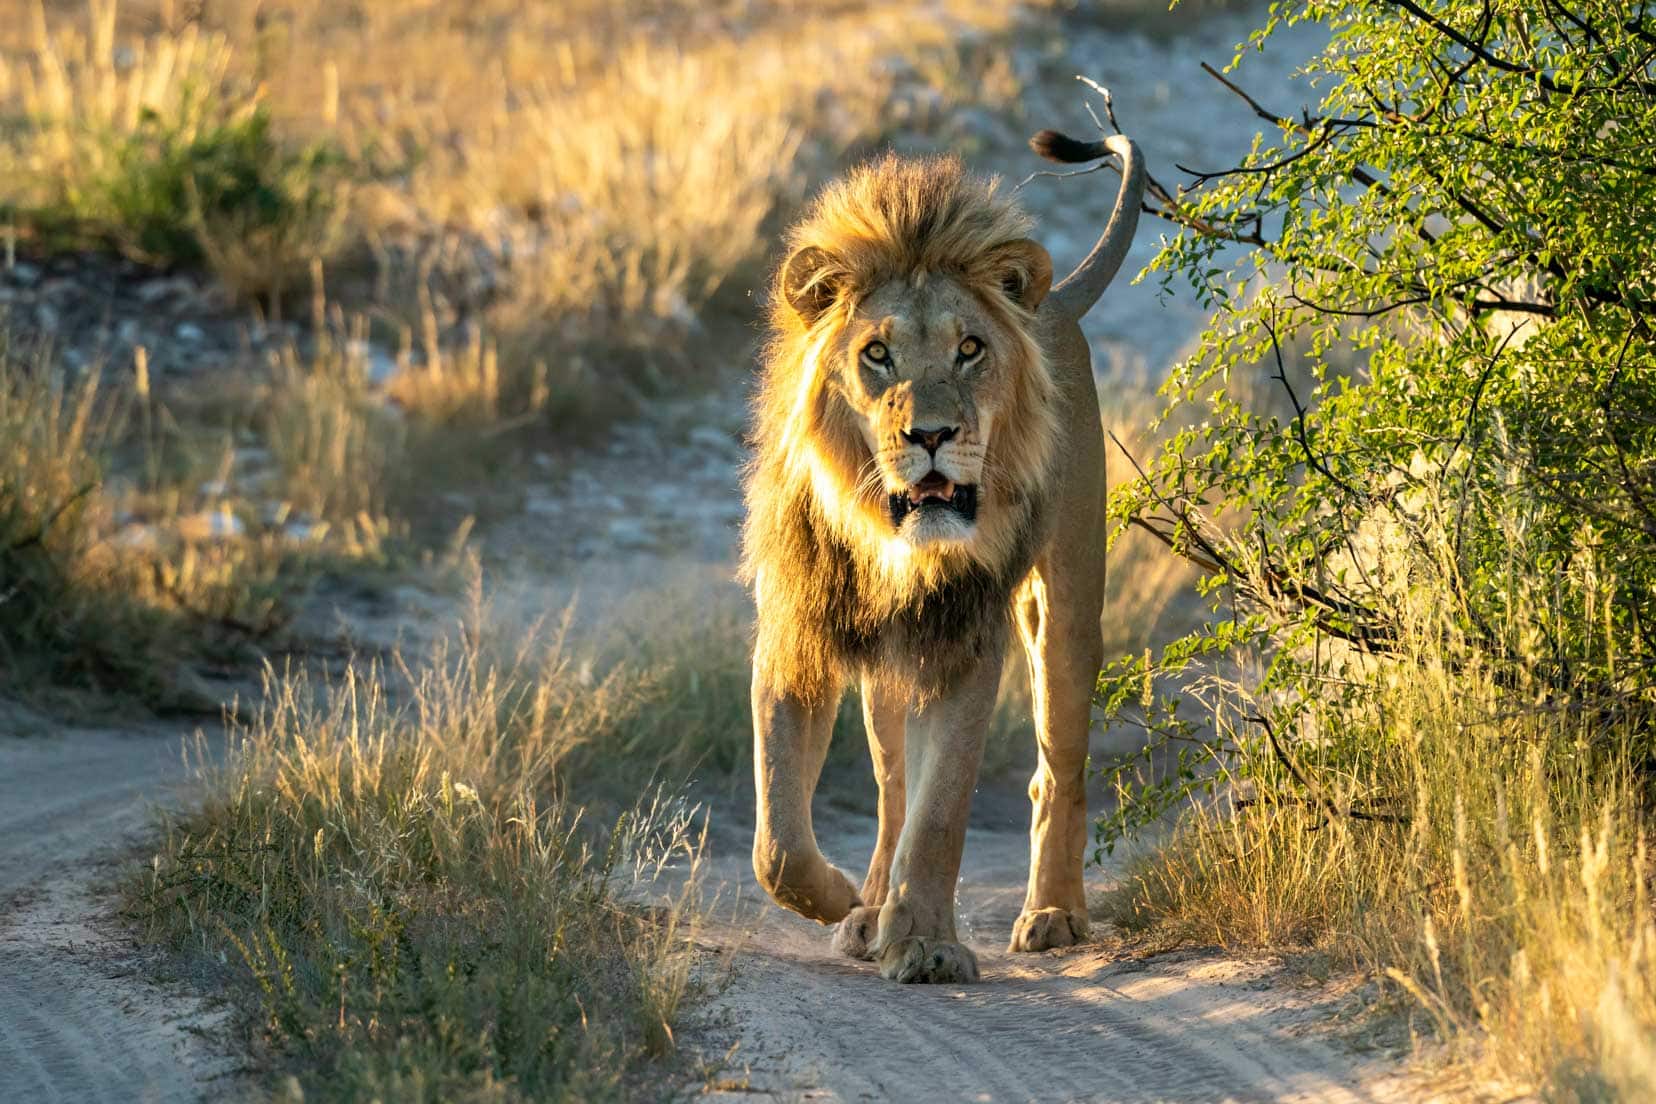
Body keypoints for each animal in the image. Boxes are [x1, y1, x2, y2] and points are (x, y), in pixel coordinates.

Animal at [745, 127, 1145, 986]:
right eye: (876, 355)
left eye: (969, 349)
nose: (929, 435)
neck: (892, 544)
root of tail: (1051, 299)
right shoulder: (795, 631)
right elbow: (779, 841)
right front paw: (847, 905)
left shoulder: (964, 641)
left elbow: (942, 814)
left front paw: (927, 943)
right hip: (887, 679)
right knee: (893, 788)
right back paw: (871, 907)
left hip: (1065, 613)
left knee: (1056, 767)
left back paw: (1052, 914)